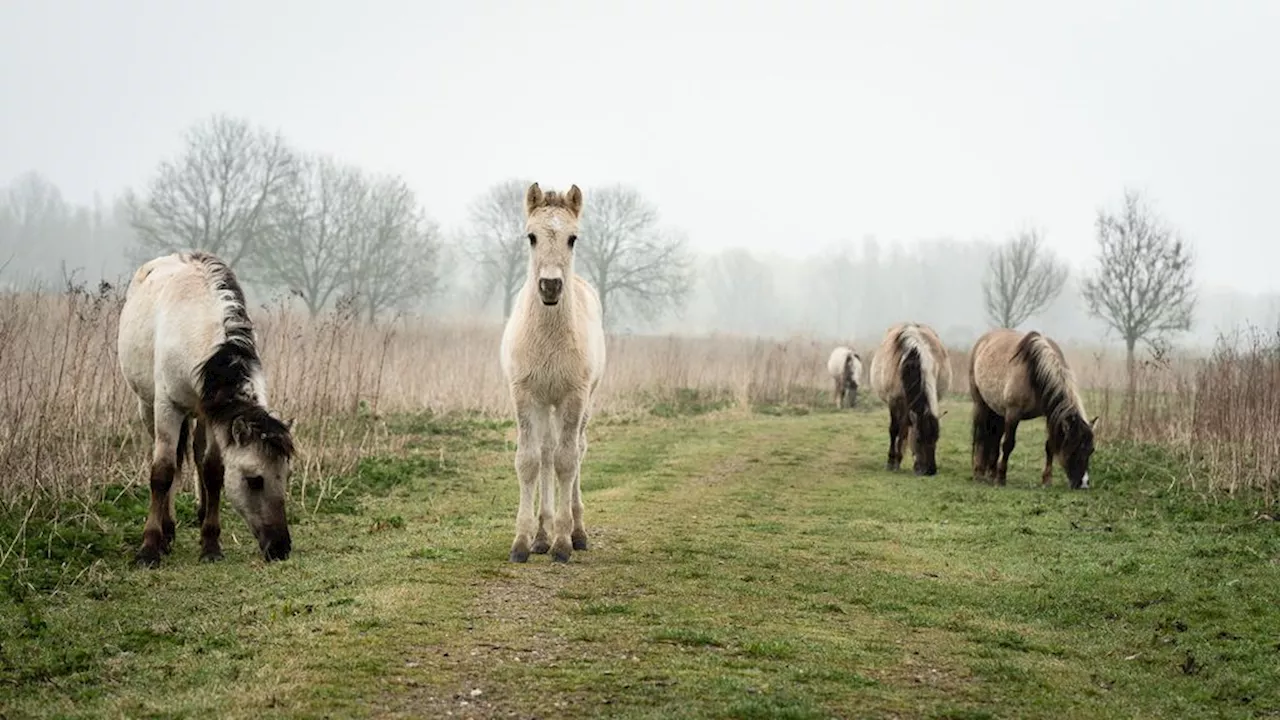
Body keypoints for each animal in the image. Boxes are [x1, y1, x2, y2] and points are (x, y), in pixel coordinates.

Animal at [496, 181, 606, 563]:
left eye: (573, 238)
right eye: (531, 236)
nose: (550, 286)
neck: (547, 338)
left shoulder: (573, 397)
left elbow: (567, 461)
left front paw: (563, 543)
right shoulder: (525, 395)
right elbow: (530, 461)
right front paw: (522, 542)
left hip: (582, 402)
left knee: (576, 450)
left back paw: (576, 532)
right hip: (546, 404)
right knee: (546, 453)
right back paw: (541, 535)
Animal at [870, 322, 952, 474]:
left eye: (936, 438)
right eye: (919, 439)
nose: (930, 471)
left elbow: (904, 430)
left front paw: (901, 460)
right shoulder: (894, 402)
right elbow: (894, 429)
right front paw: (891, 461)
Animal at [967, 326, 1100, 486]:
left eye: (1091, 450)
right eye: (1074, 447)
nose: (1084, 484)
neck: (1036, 373)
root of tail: (982, 341)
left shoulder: (1050, 415)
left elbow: (1050, 446)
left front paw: (1047, 480)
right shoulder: (1013, 413)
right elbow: (1008, 444)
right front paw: (1001, 478)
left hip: (997, 410)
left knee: (994, 437)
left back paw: (991, 473)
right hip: (980, 404)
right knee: (981, 436)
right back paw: (979, 472)